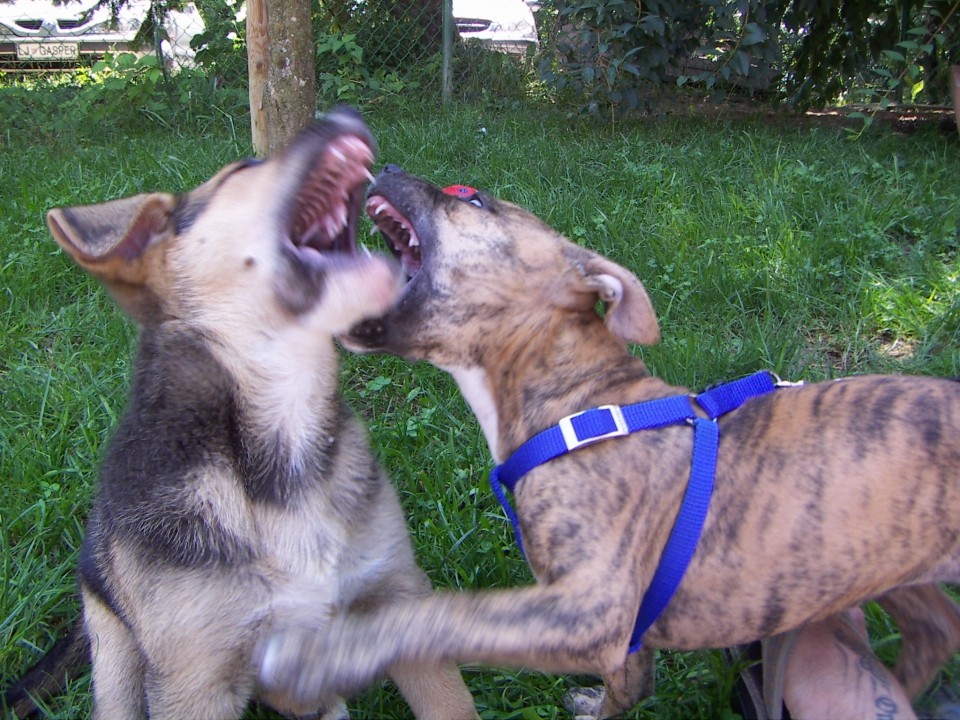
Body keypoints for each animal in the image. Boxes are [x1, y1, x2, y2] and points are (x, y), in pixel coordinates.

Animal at [3, 114, 476, 720]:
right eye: (243, 170)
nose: (346, 113)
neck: (284, 444)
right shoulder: (193, 682)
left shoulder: (397, 596)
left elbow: (452, 705)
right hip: (114, 647)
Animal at [255, 167, 960, 716]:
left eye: (471, 198)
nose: (386, 163)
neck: (581, 399)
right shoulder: (618, 634)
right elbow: (626, 687)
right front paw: (596, 702)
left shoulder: (590, 608)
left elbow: (439, 617)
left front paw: (328, 655)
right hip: (896, 573)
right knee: (936, 629)